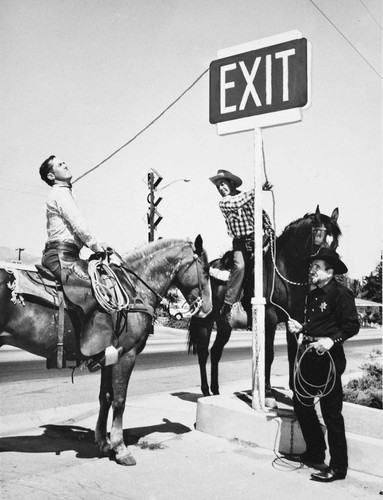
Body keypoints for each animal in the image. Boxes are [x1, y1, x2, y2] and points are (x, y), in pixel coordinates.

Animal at [0, 234, 213, 464]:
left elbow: (106, 397)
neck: (134, 289)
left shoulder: (109, 358)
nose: (208, 308)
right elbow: (119, 399)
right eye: (206, 270)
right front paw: (121, 448)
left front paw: (104, 443)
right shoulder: (127, 355)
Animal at [189, 207, 342, 406]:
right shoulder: (270, 317)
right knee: (202, 352)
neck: (285, 271)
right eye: (318, 239)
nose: (332, 270)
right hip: (206, 321)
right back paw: (206, 391)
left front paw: (296, 392)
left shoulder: (294, 319)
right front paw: (268, 394)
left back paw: (215, 391)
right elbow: (268, 355)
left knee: (215, 352)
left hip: (224, 325)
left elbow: (293, 354)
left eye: (336, 243)